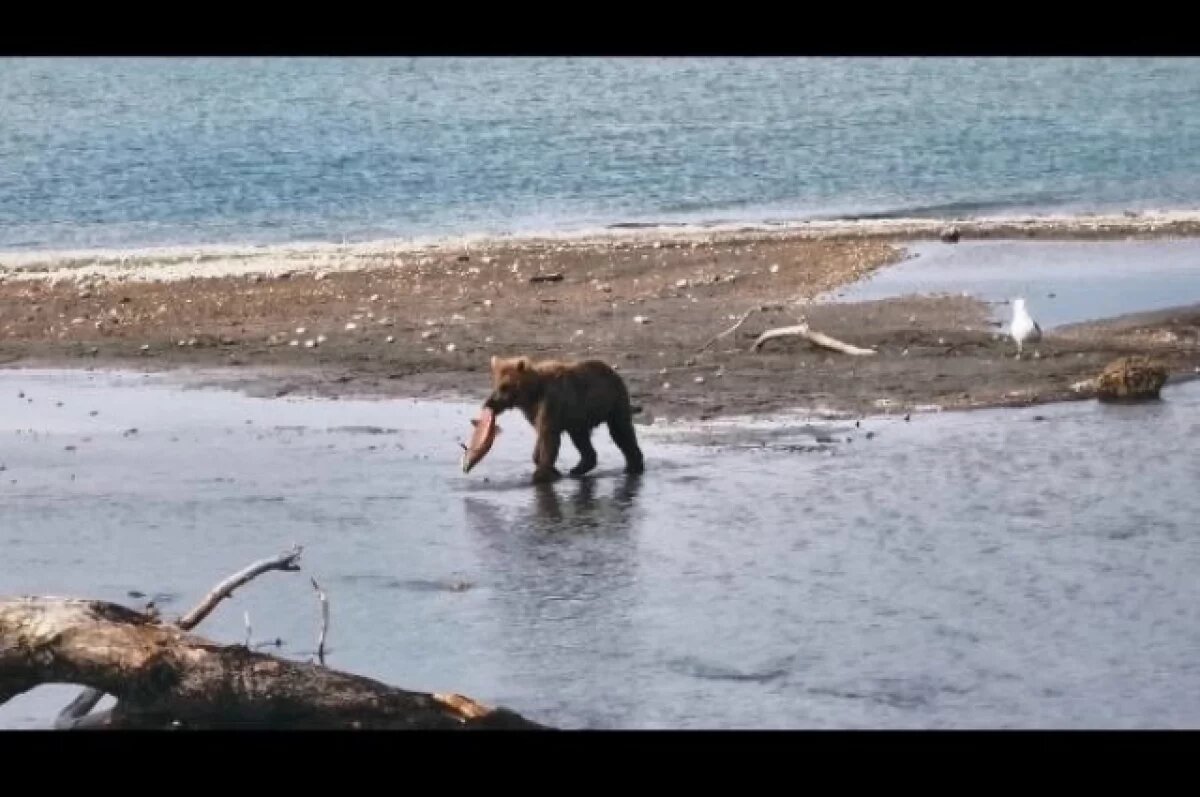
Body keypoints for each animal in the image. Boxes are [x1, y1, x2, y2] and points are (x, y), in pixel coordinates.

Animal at [482, 355, 643, 484]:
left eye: (505, 386)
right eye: (496, 384)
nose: (489, 403)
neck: (532, 393)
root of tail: (612, 370)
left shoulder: (551, 403)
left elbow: (548, 437)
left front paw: (540, 475)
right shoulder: (534, 412)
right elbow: (541, 436)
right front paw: (552, 470)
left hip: (612, 402)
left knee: (621, 431)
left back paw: (633, 467)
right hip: (579, 417)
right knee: (582, 440)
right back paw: (578, 468)